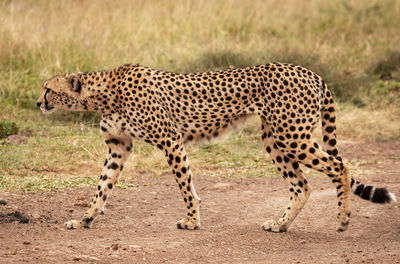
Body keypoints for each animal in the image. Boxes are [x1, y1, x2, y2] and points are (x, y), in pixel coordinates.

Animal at [36, 63, 396, 232]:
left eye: (48, 89)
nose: (37, 102)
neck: (104, 93)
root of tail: (308, 71)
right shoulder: (118, 146)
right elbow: (102, 187)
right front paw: (84, 219)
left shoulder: (170, 139)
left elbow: (185, 186)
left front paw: (192, 221)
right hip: (274, 138)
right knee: (302, 185)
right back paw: (280, 225)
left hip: (292, 135)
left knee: (340, 167)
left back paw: (343, 219)